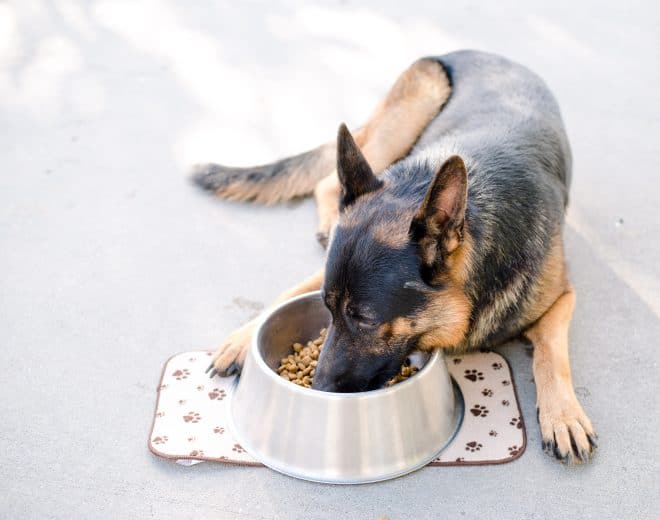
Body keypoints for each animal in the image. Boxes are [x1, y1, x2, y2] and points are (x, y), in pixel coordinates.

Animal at [192, 49, 600, 464]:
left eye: (366, 319)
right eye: (327, 309)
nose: (318, 387)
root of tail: (485, 53)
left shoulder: (563, 297)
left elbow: (551, 354)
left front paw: (563, 414)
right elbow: (291, 289)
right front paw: (242, 337)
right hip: (414, 106)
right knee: (327, 181)